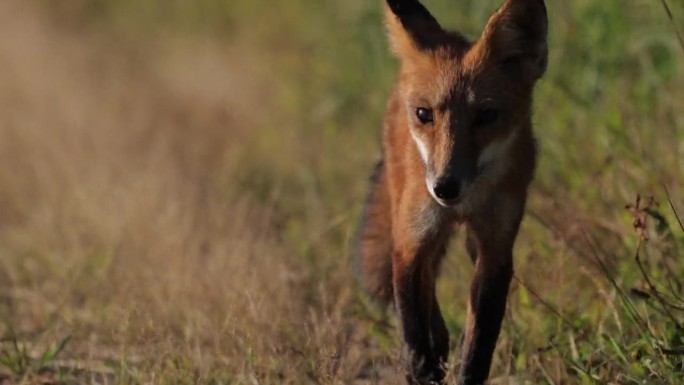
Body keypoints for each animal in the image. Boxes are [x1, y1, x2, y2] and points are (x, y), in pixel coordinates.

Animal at [356, 1, 548, 382]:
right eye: (423, 114)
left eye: (487, 115)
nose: (445, 187)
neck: (465, 204)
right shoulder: (412, 240)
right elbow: (415, 336)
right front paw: (422, 369)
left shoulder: (495, 247)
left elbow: (479, 341)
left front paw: (464, 368)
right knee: (430, 306)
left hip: (470, 241)